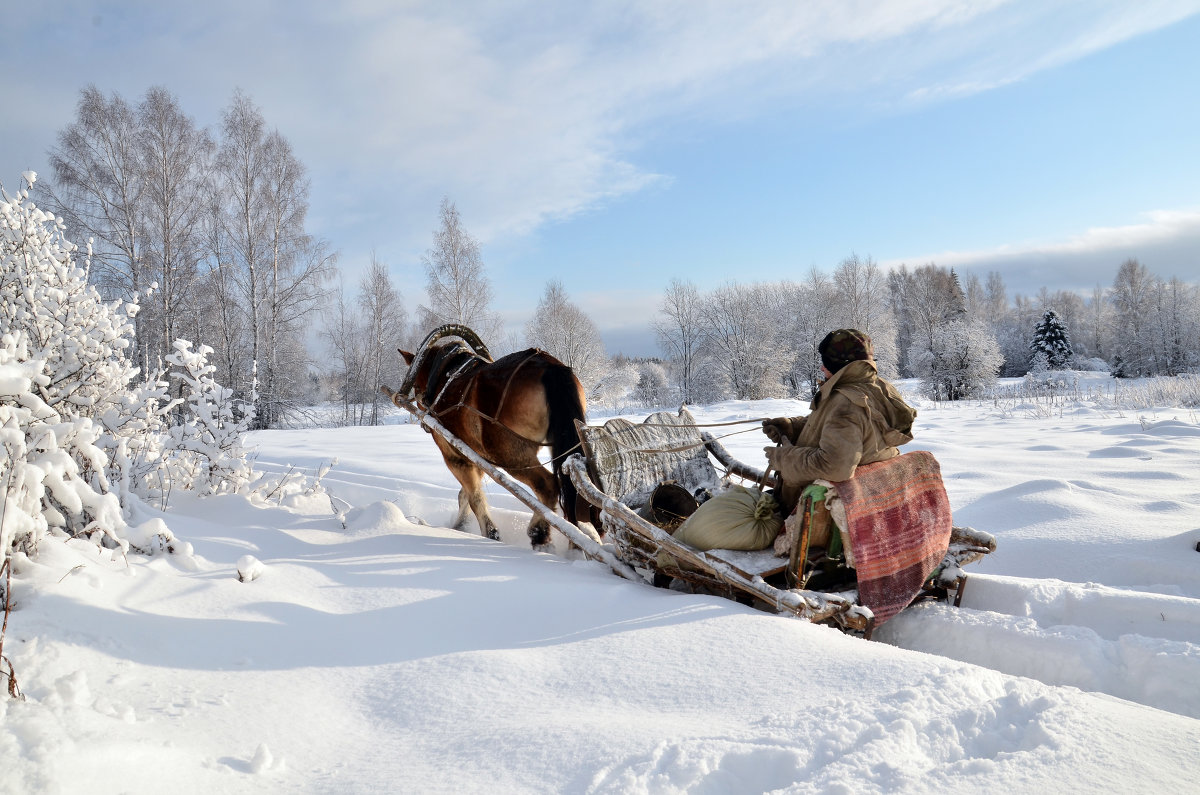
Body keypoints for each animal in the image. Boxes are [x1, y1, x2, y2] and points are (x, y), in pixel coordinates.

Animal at [388, 326, 585, 552]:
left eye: (417, 387)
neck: (443, 379)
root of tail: (551, 368)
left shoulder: (455, 456)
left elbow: (474, 495)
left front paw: (489, 532)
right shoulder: (477, 455)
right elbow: (465, 494)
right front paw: (460, 526)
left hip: (508, 453)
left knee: (547, 485)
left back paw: (539, 533)